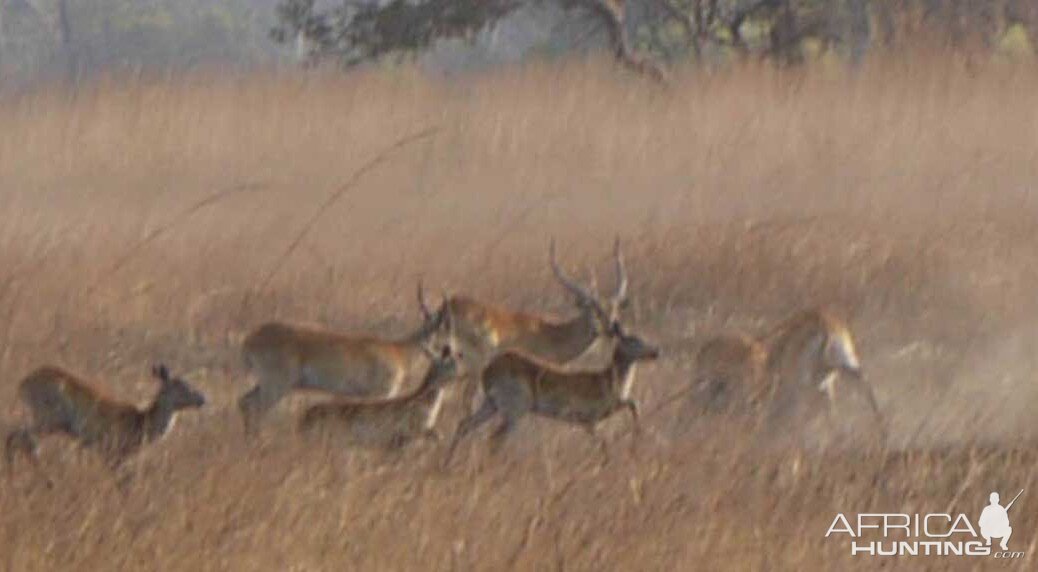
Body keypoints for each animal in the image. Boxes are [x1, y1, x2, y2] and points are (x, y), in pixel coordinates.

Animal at [6, 367, 206, 479]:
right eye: (180, 385)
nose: (202, 398)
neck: (140, 422)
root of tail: (23, 383)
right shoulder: (112, 453)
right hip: (48, 419)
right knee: (19, 437)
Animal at [242, 284, 454, 436]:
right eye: (446, 328)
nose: (449, 350)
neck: (398, 351)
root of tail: (251, 338)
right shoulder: (382, 393)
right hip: (276, 386)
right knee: (253, 408)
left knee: (244, 402)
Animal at [444, 321, 656, 465]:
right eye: (633, 340)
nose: (656, 351)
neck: (608, 379)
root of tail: (488, 370)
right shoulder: (590, 418)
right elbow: (629, 407)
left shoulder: (590, 422)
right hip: (515, 410)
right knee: (495, 437)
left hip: (491, 404)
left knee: (465, 424)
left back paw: (447, 464)